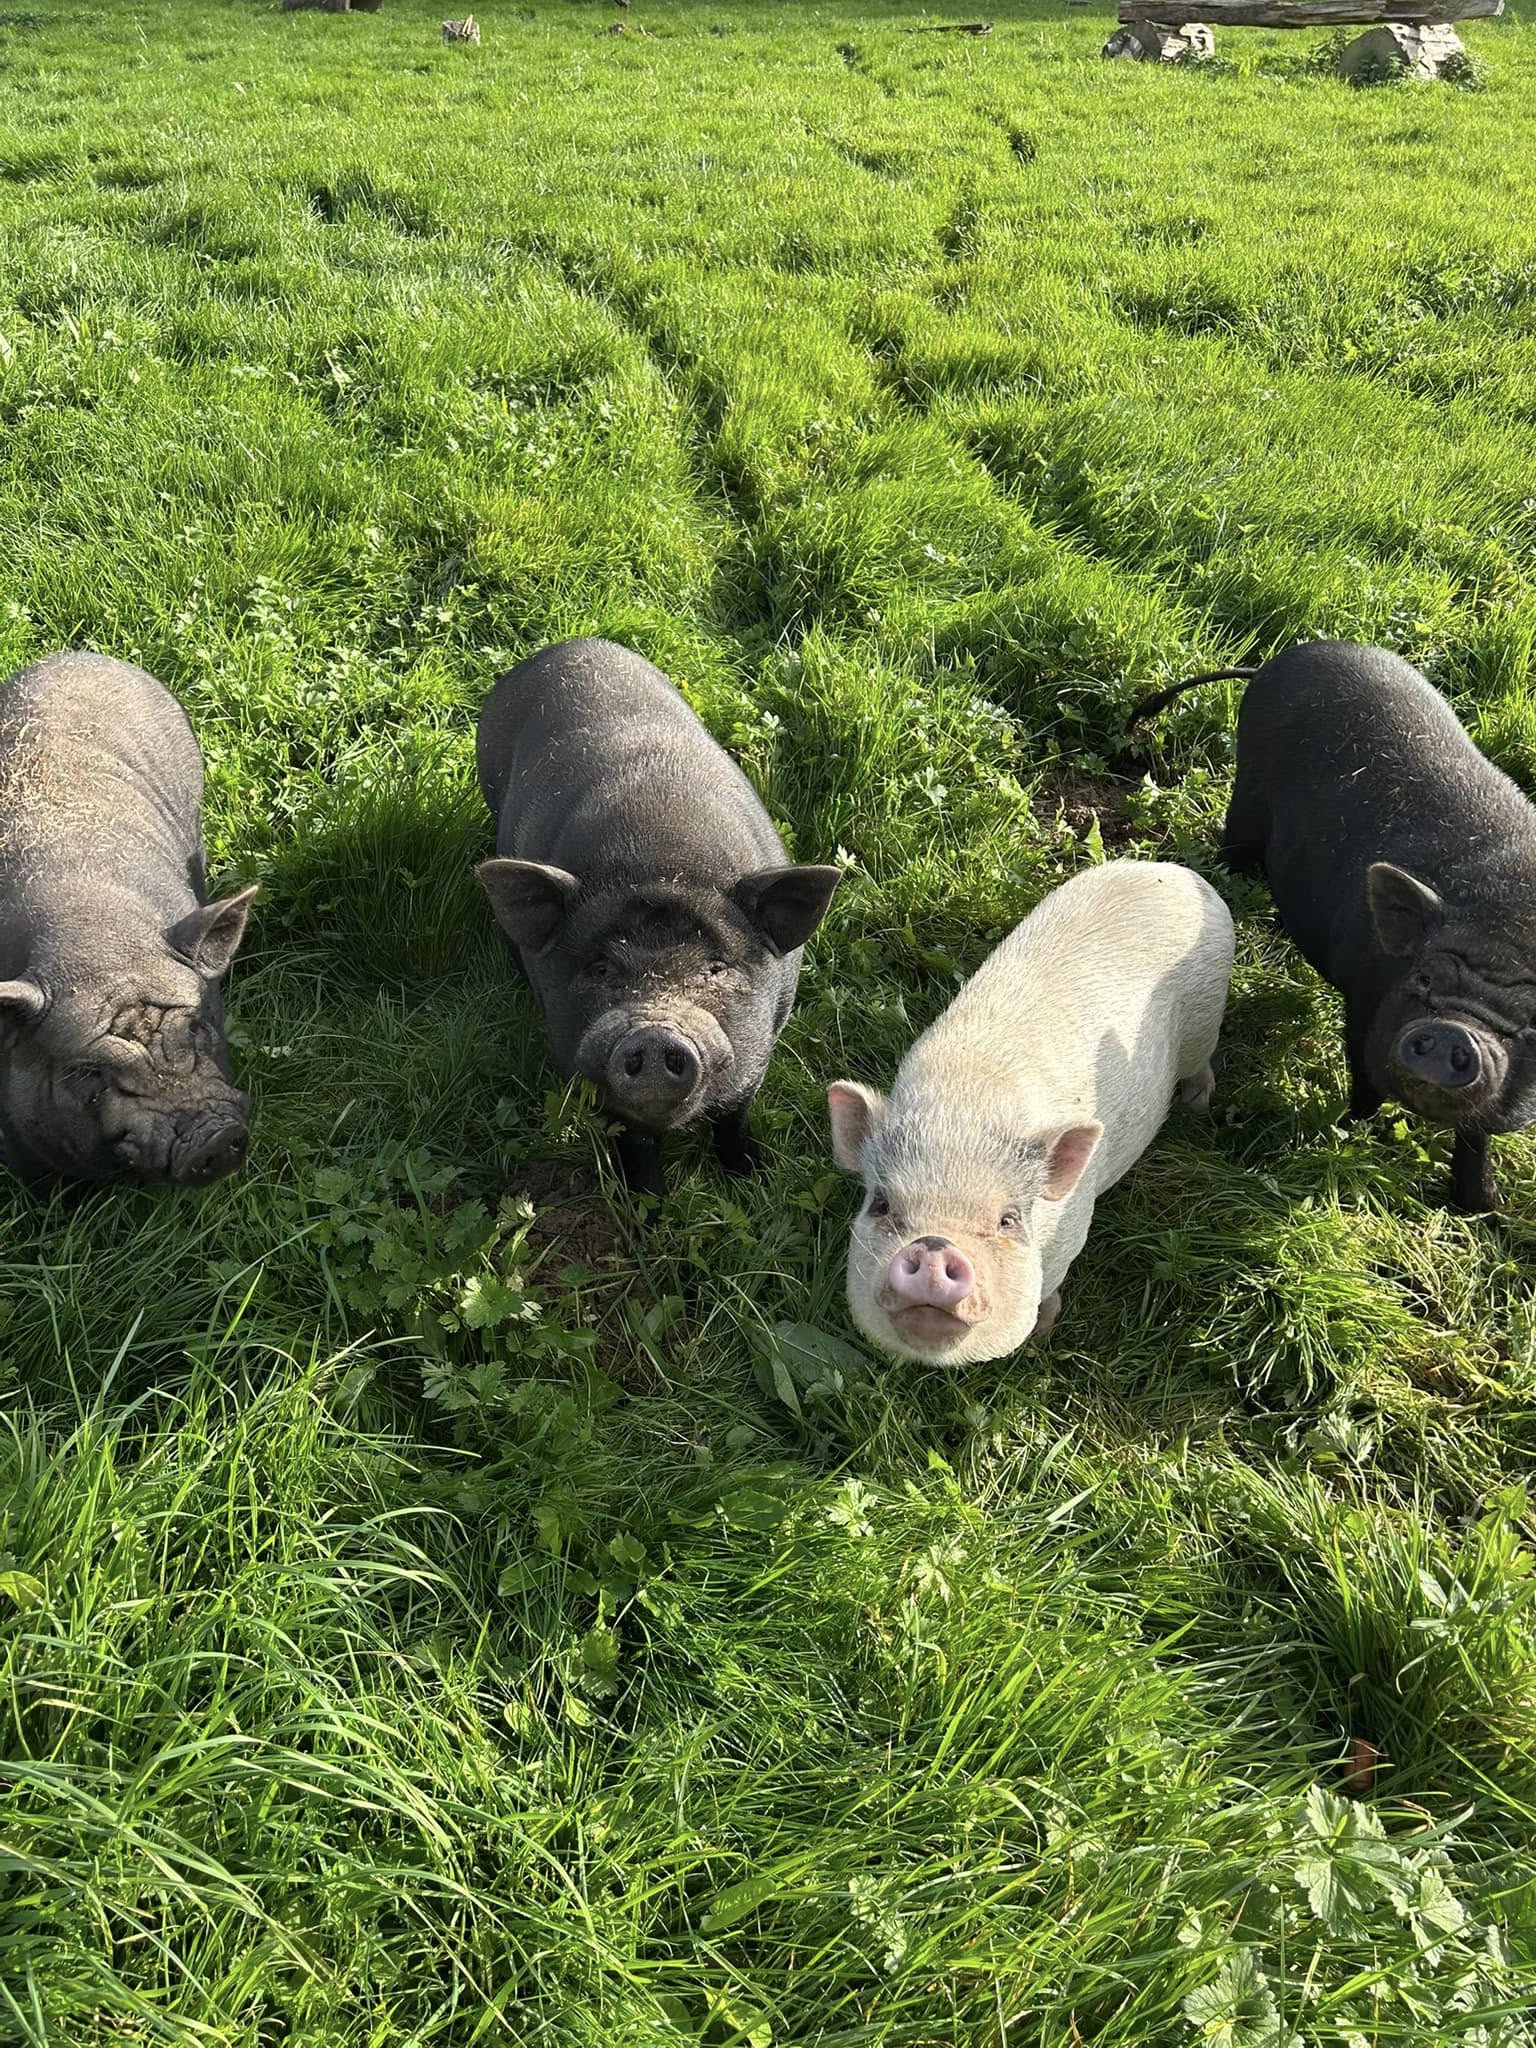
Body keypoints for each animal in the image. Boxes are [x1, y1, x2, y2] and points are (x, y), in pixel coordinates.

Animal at [475, 638, 842, 1199]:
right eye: (601, 967)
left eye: (715, 967)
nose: (653, 1031)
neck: (661, 865)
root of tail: (567, 645)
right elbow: (633, 1140)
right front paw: (648, 1201)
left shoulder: (762, 1049)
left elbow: (734, 1116)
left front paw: (748, 1178)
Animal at [827, 860, 1234, 1364]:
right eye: (880, 1205)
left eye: (1009, 1219)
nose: (936, 1246)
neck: (964, 1109)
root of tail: (1175, 872)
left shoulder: (1070, 1233)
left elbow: (1051, 1283)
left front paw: (1042, 1332)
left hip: (1207, 1017)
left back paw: (1197, 1105)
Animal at [1129, 640, 1536, 1213]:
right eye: (1423, 978)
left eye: (1534, 1021)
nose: (1453, 1031)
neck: (1507, 927)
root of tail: (1285, 657)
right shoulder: (1365, 1001)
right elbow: (1364, 1078)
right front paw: (1351, 1133)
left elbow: (1475, 1135)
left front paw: (1484, 1210)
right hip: (1247, 794)